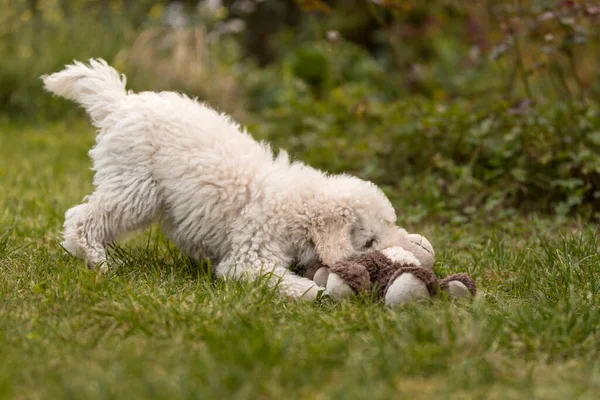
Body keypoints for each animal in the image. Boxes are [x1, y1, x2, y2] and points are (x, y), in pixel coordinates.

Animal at [41, 59, 408, 300]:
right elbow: (281, 280)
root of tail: (121, 103)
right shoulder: (248, 257)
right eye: (369, 242)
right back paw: (96, 260)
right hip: (135, 188)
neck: (298, 207)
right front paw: (314, 291)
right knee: (82, 218)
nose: (401, 253)